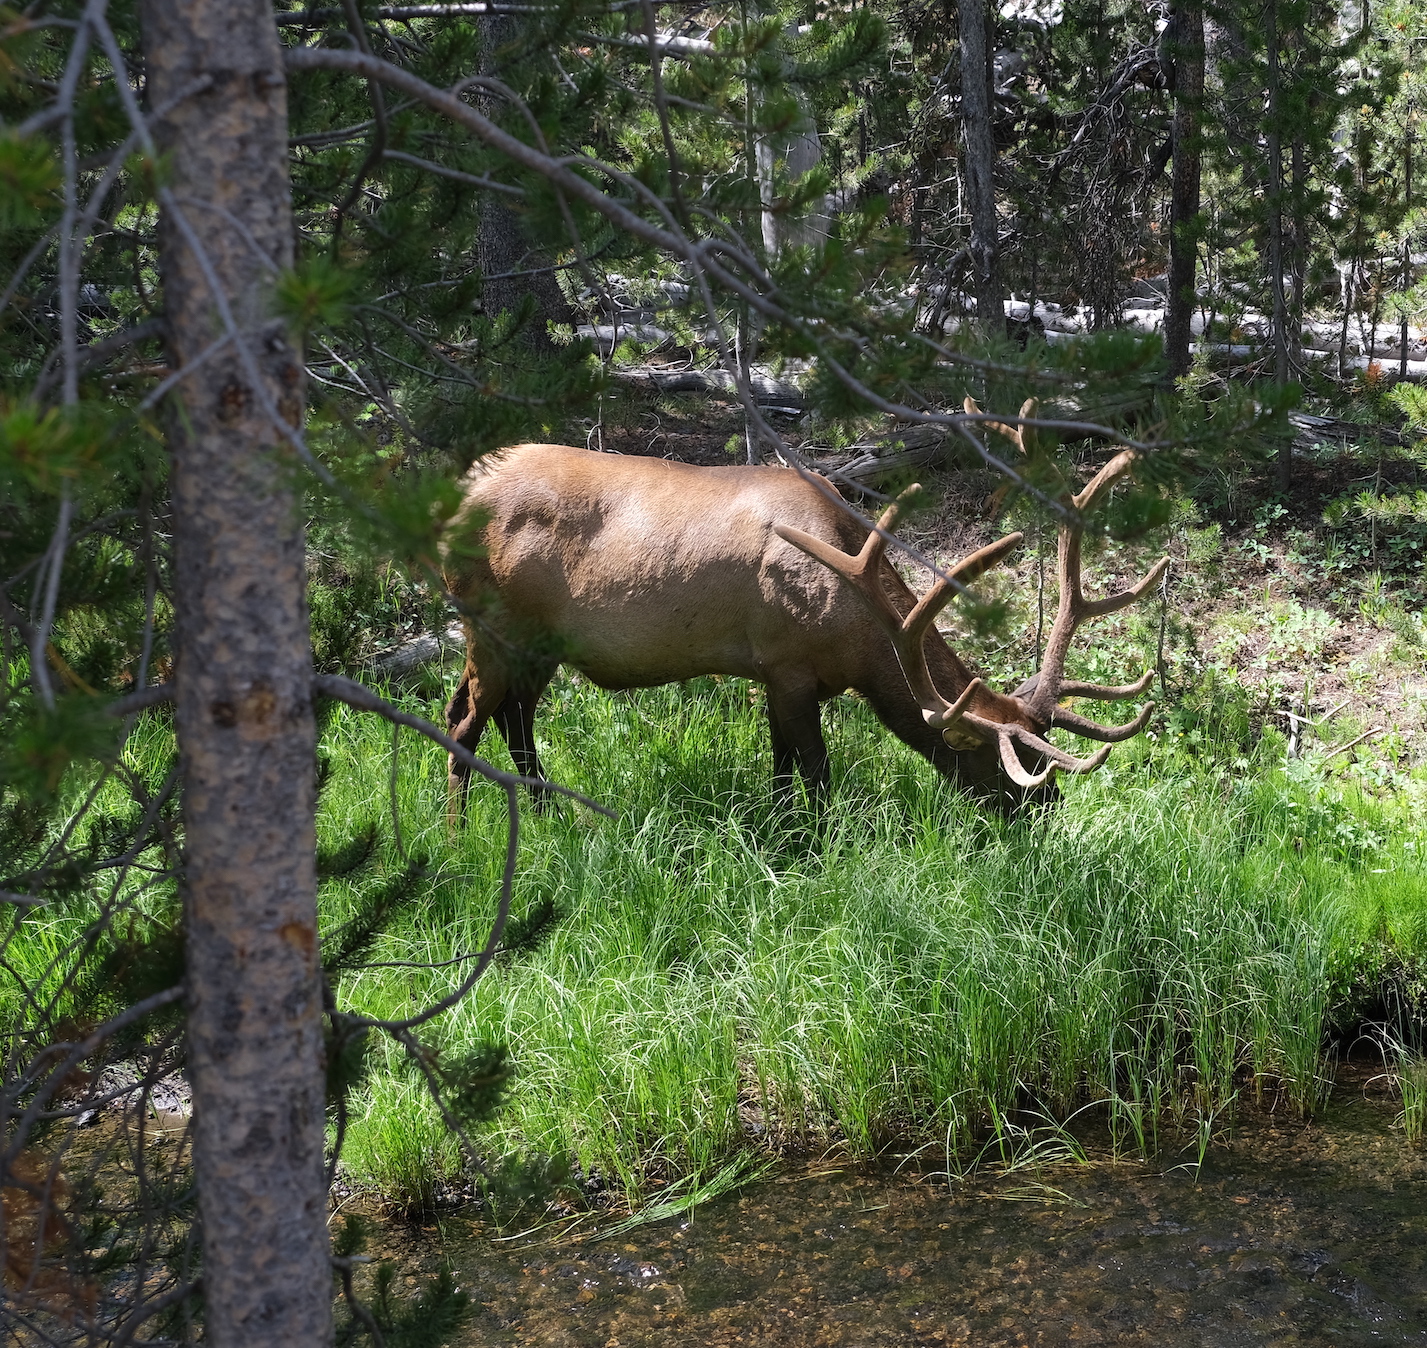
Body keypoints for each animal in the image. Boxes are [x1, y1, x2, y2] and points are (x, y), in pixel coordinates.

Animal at [440, 407, 1169, 818]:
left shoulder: (774, 674)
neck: (859, 637)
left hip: (538, 643)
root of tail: (456, 490)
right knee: (463, 721)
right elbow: (813, 777)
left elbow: (781, 773)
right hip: (491, 625)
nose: (1047, 810)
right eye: (1000, 762)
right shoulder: (787, 664)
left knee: (514, 719)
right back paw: (456, 837)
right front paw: (810, 855)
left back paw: (546, 814)